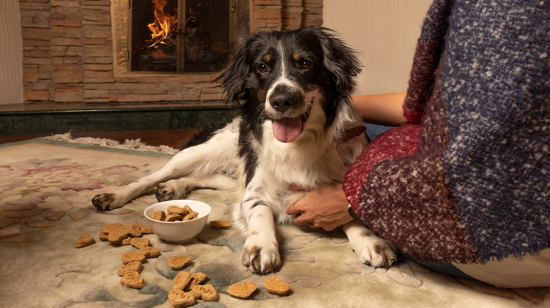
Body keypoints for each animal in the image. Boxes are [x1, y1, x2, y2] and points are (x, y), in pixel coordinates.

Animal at [94, 27, 396, 274]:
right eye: (262, 67)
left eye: (306, 64)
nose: (281, 100)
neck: (297, 145)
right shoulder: (254, 191)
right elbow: (262, 214)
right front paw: (262, 246)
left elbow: (348, 212)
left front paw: (371, 241)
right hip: (199, 152)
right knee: (152, 177)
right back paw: (117, 194)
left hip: (229, 174)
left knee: (201, 178)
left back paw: (173, 188)